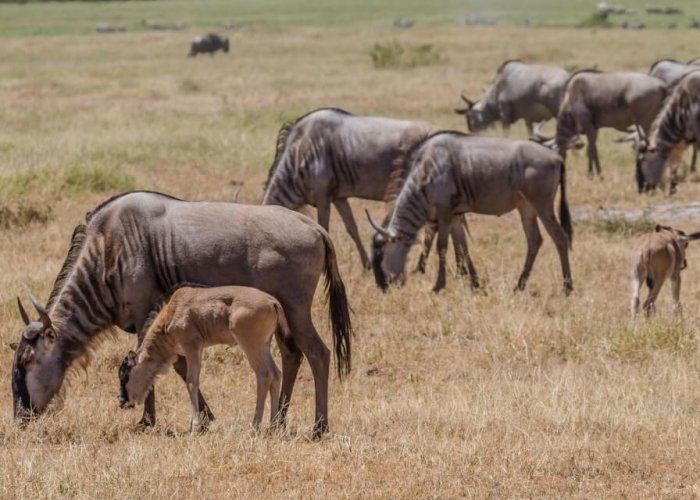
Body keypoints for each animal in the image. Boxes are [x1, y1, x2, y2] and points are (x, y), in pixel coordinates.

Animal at [119, 286, 288, 434]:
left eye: (125, 374)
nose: (122, 401)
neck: (172, 312)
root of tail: (272, 302)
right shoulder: (197, 350)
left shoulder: (192, 348)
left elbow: (191, 382)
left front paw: (195, 425)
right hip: (264, 347)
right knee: (276, 374)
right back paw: (273, 427)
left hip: (251, 346)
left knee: (264, 375)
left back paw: (255, 426)